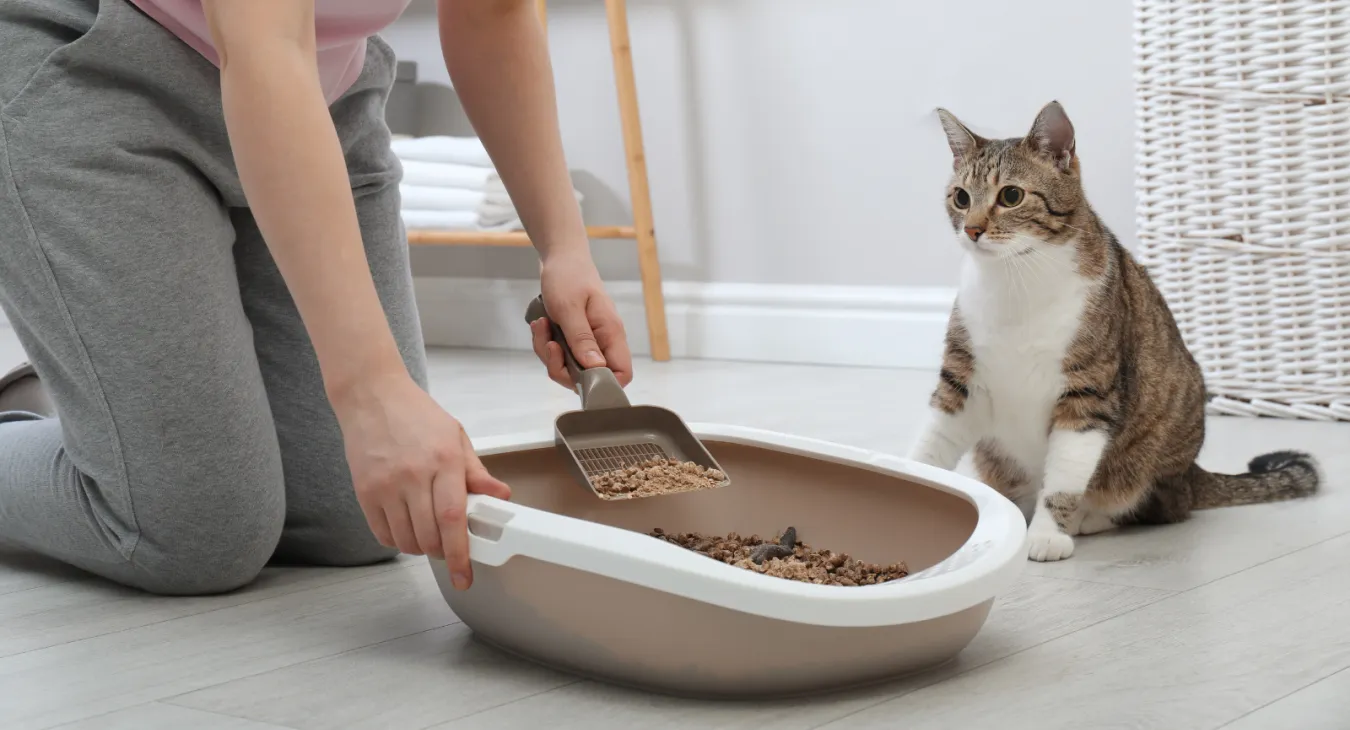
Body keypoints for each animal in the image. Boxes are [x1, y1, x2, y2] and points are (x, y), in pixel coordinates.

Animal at [907, 99, 1317, 561]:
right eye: (961, 197)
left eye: (1011, 195)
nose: (973, 229)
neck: (1016, 282)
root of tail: (1193, 472)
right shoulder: (960, 379)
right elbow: (931, 443)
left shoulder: (1088, 391)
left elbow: (1065, 475)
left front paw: (1048, 533)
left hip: (1155, 453)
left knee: (1159, 506)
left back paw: (1088, 518)